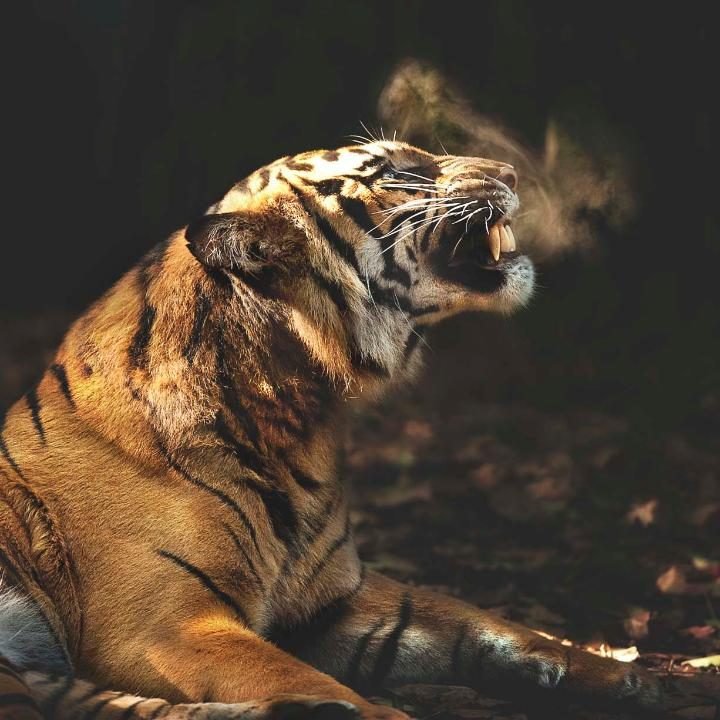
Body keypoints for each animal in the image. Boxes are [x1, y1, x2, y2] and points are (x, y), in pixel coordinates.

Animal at [0, 140, 662, 720]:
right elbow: (298, 672)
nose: (510, 172)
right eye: (396, 172)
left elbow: (475, 620)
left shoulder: (335, 599)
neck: (298, 418)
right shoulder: (165, 627)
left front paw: (622, 675)